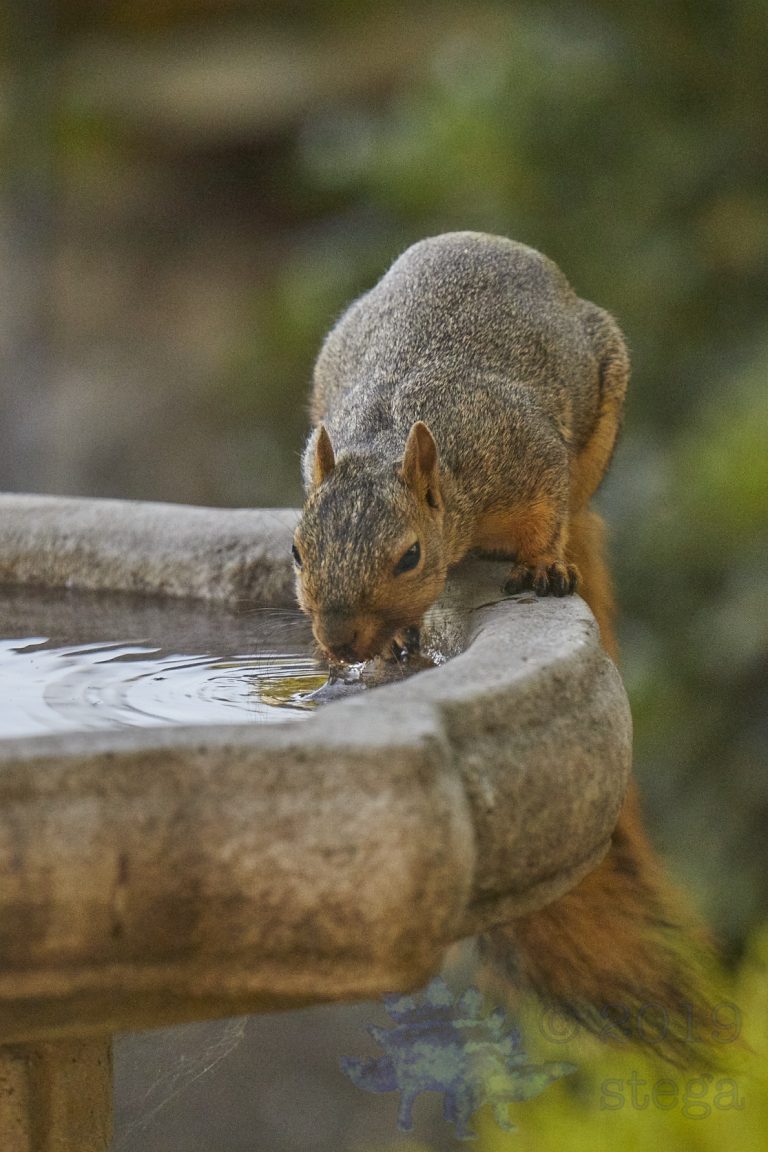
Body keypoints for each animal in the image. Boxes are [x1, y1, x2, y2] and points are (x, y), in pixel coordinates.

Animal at [293, 231, 714, 1065]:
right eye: (296, 551)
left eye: (410, 557)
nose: (339, 639)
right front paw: (394, 642)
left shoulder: (524, 457)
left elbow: (545, 508)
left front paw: (543, 565)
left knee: (575, 500)